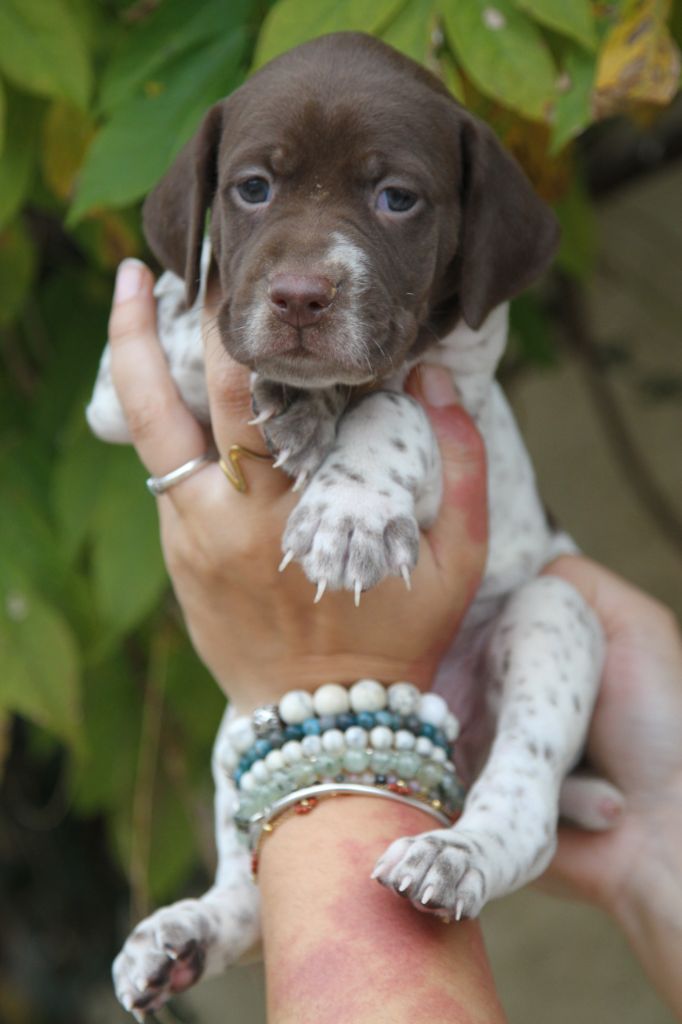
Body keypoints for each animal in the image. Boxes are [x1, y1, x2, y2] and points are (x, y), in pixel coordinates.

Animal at [96, 34, 622, 1015]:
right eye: (253, 188)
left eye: (397, 199)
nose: (302, 297)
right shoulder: (117, 385)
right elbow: (203, 329)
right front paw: (290, 397)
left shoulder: (467, 391)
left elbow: (397, 402)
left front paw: (349, 505)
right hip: (240, 723)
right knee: (251, 888)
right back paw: (183, 935)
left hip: (553, 613)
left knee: (523, 807)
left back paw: (454, 855)